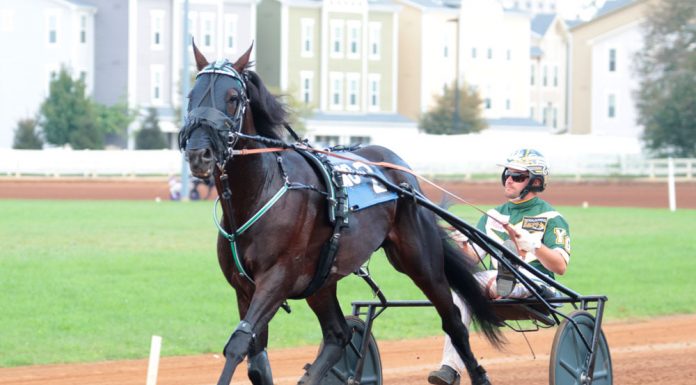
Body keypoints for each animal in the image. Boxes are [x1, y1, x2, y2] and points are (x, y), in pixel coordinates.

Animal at [179, 42, 500, 384]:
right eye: (191, 96)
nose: (199, 153)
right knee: (339, 334)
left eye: (233, 98)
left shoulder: (277, 277)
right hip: (321, 280)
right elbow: (256, 361)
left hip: (419, 260)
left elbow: (238, 344)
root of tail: (400, 169)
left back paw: (477, 374)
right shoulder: (243, 287)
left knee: (453, 321)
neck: (259, 192)